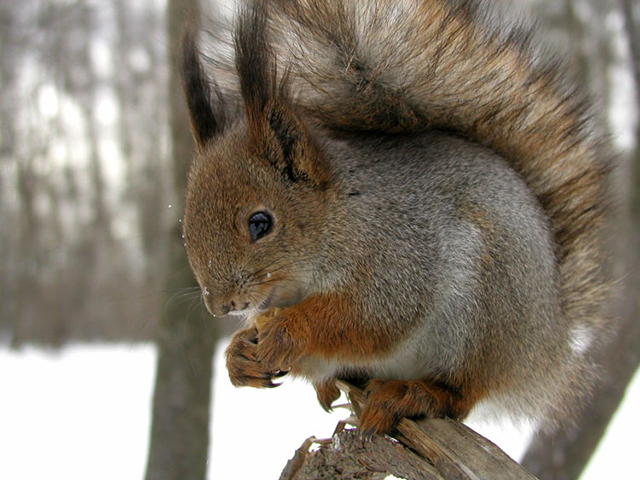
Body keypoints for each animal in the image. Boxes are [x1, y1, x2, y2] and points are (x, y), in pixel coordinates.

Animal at [179, 0, 608, 436]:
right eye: (186, 227)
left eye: (260, 223)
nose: (220, 306)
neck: (338, 216)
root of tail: (548, 345)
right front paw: (237, 354)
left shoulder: (399, 255)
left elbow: (371, 316)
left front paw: (288, 330)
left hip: (484, 313)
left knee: (463, 392)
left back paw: (412, 395)